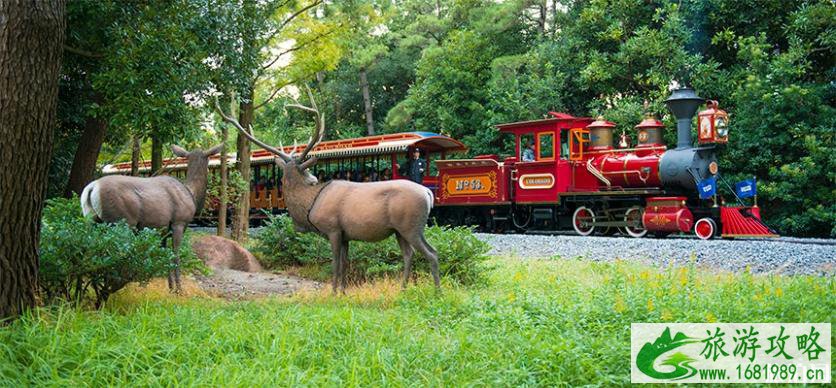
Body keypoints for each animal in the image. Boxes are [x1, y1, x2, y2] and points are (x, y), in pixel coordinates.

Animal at [78, 144, 220, 292]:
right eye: (209, 159)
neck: (191, 195)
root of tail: (91, 188)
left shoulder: (163, 230)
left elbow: (165, 255)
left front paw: (170, 288)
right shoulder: (178, 223)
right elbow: (175, 255)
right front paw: (179, 290)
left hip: (92, 219)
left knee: (86, 249)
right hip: (120, 222)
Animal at [216, 91, 444, 292]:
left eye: (305, 168)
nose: (314, 179)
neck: (309, 207)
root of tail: (428, 194)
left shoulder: (333, 228)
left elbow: (335, 262)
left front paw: (333, 292)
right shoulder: (345, 234)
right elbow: (344, 263)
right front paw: (343, 291)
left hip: (411, 225)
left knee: (432, 253)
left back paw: (437, 292)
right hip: (399, 230)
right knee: (409, 254)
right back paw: (402, 289)